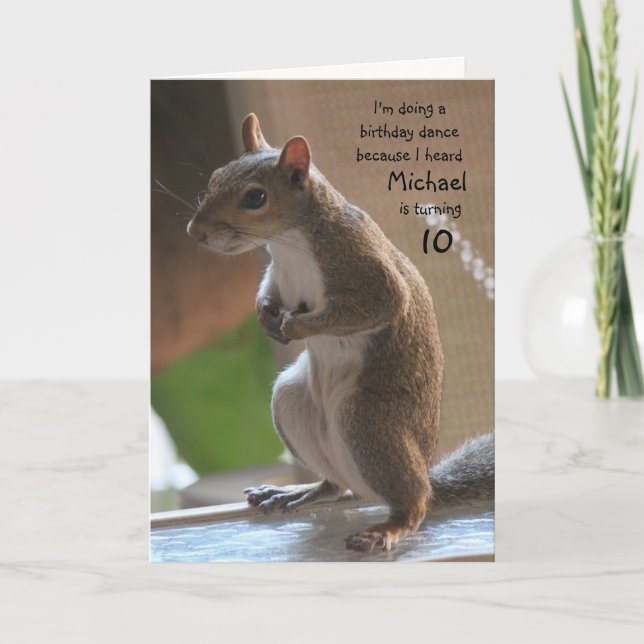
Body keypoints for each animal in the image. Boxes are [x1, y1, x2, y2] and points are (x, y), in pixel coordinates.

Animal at [187, 113, 494, 553]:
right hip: (292, 401)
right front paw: (265, 316)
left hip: (366, 420)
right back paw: (296, 492)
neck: (289, 245)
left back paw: (387, 528)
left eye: (255, 198)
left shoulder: (364, 266)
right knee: (335, 486)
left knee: (414, 504)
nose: (195, 231)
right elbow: (267, 292)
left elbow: (382, 303)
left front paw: (296, 325)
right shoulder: (277, 276)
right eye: (214, 178)